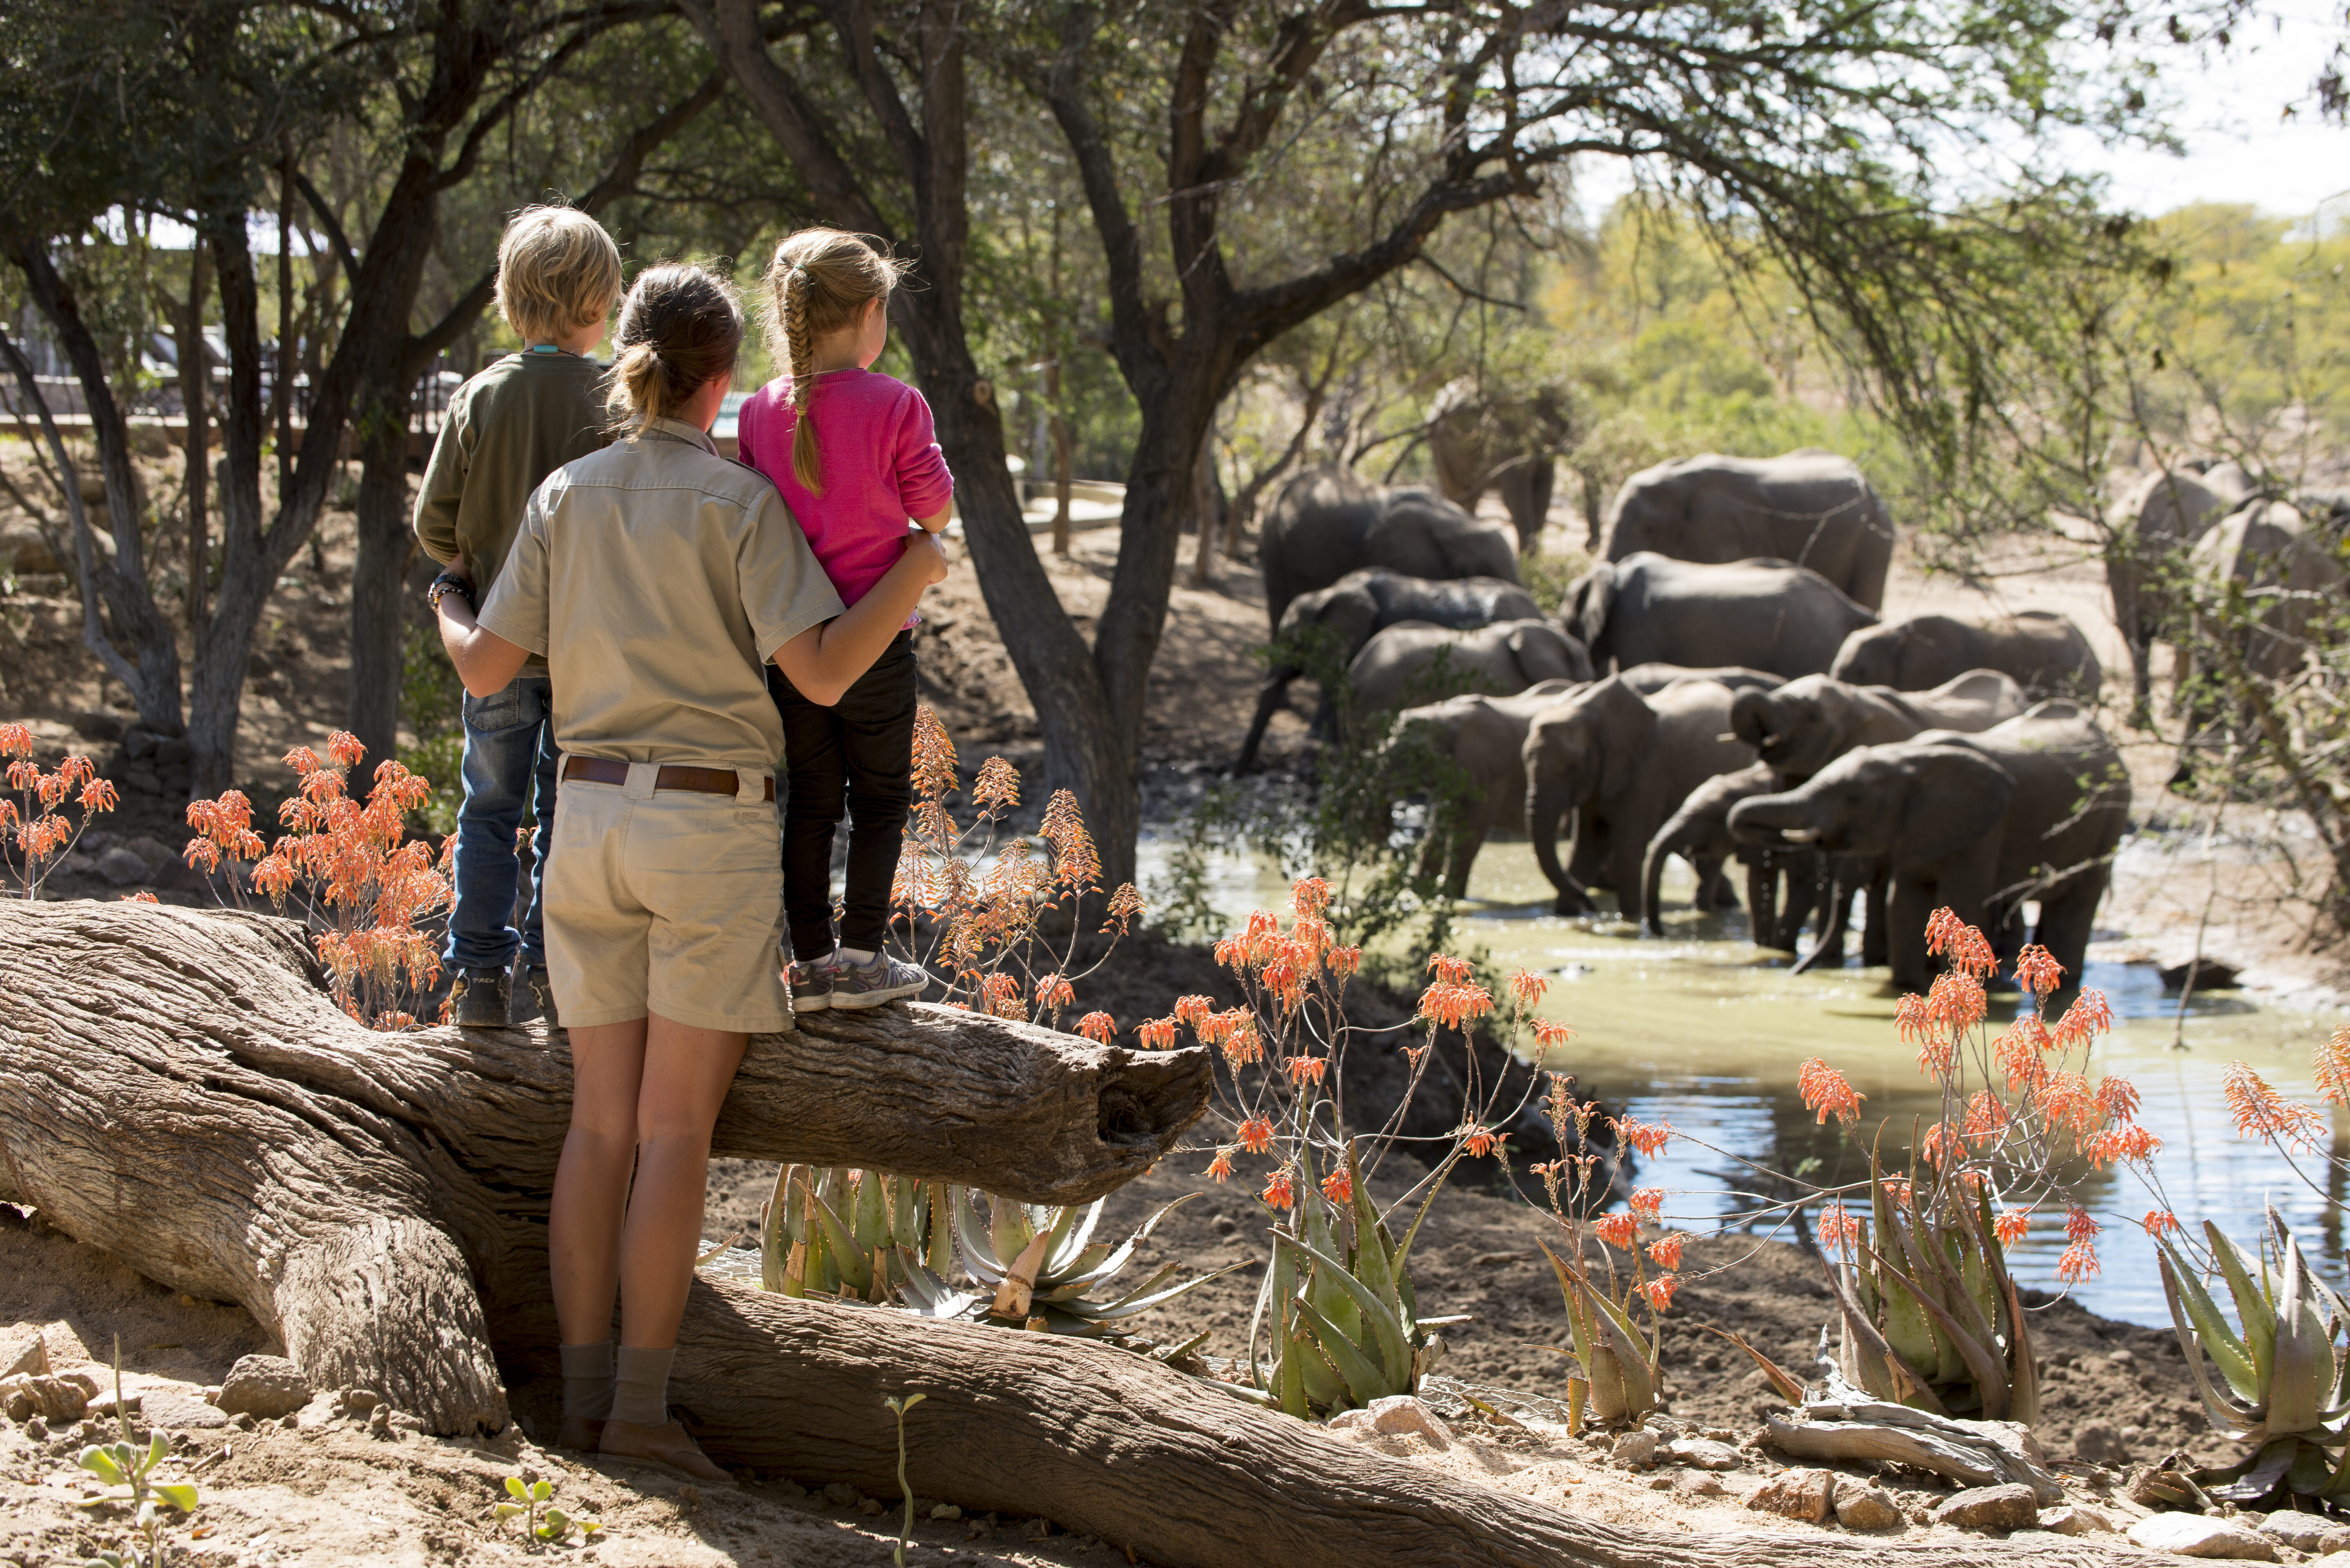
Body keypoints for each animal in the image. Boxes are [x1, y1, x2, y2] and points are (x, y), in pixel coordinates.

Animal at [1377, 680, 1584, 896]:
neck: (1445, 715)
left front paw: (1450, 898)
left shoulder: (1493, 772)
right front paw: (1417, 894)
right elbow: (1438, 827)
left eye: (1414, 757)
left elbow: (1471, 830)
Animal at [1524, 676, 1757, 925]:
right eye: (1525, 762)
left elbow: (1627, 851)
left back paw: (1705, 909)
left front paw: (1630, 921)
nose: (1592, 906)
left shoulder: (1647, 773)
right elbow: (1587, 848)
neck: (1588, 712)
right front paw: (1566, 916)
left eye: (1573, 768)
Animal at [1726, 703, 2132, 995]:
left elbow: (1963, 899)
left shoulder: (1983, 828)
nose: (1790, 974)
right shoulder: (1918, 830)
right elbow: (1904, 905)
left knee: (2078, 903)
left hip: (2110, 820)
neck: (1909, 758)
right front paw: (1907, 989)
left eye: (1853, 798)